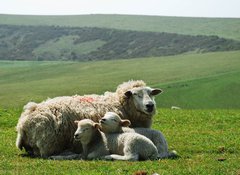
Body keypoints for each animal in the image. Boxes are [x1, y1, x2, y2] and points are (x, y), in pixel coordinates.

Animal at [15, 80, 162, 157]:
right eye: (135, 94)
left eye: (151, 93)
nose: (150, 105)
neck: (119, 103)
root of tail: (23, 123)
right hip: (48, 142)